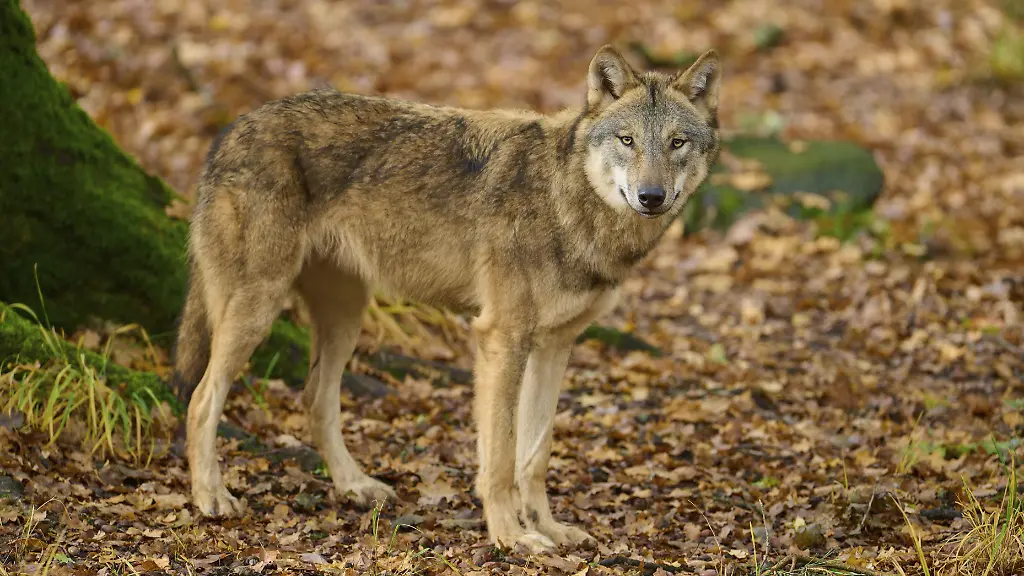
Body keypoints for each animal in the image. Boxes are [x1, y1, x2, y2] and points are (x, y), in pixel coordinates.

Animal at [172, 44, 722, 552]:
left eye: (676, 143)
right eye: (628, 140)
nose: (652, 197)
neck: (568, 201)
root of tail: (231, 130)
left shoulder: (554, 346)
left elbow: (536, 454)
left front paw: (548, 528)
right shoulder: (501, 338)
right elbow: (500, 456)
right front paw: (511, 537)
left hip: (346, 314)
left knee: (315, 400)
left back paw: (355, 486)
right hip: (258, 307)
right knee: (201, 397)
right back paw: (211, 497)